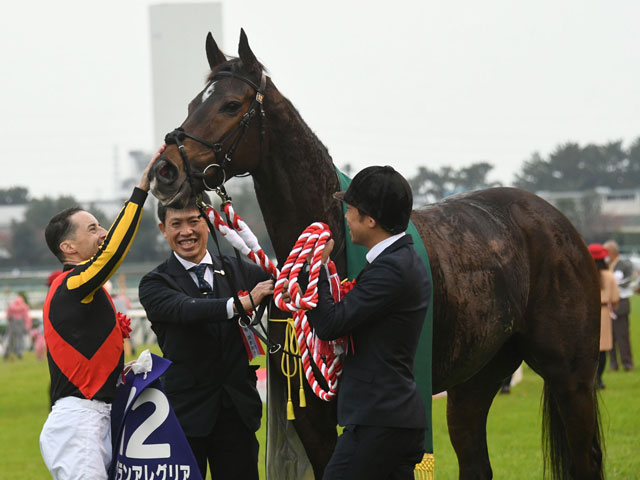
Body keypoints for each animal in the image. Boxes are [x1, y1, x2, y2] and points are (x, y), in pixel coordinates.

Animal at [149, 31, 604, 480]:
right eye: (192, 104)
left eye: (230, 104)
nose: (164, 171)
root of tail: (554, 219)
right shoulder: (313, 418)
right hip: (477, 376)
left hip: (572, 378)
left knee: (585, 456)